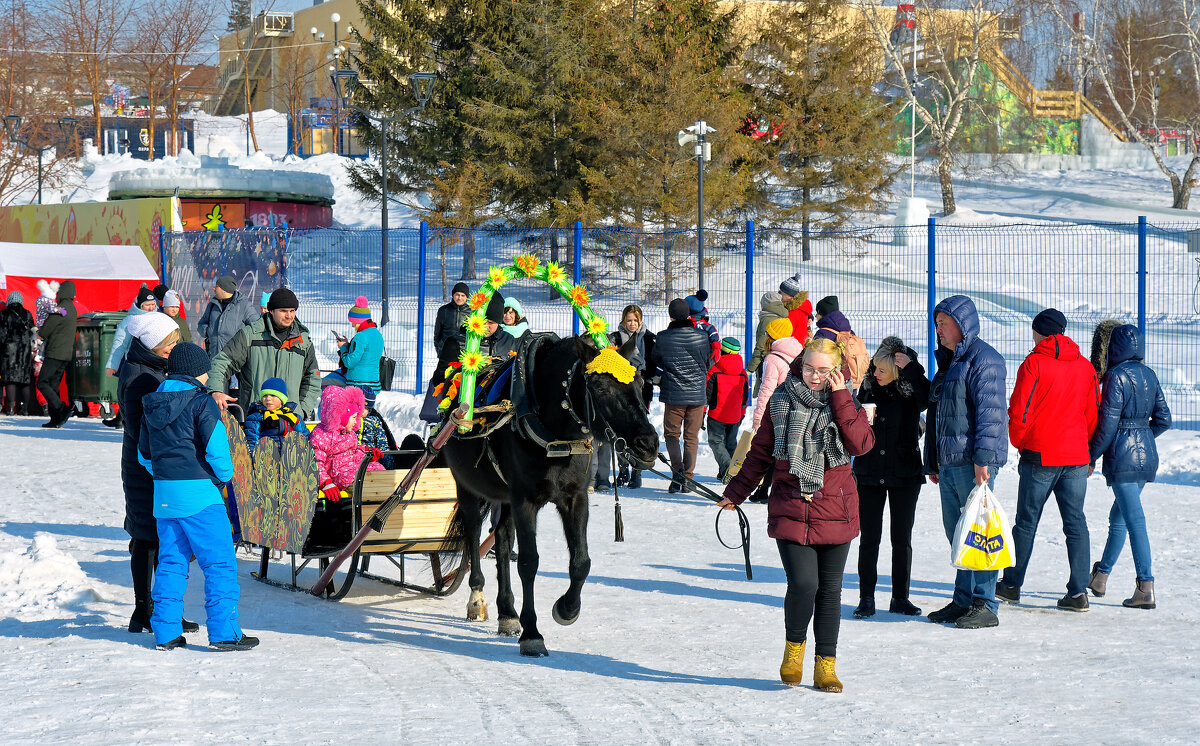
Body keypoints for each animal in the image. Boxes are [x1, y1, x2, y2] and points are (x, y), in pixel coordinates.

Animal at [446, 335, 662, 657]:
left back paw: (507, 613)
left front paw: (566, 608)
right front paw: (532, 634)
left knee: (502, 539)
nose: (648, 443)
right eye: (600, 387)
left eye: (638, 381)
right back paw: (477, 598)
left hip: (505, 497)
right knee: (473, 536)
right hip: (469, 488)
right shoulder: (524, 500)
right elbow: (528, 563)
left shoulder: (574, 498)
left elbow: (581, 561)